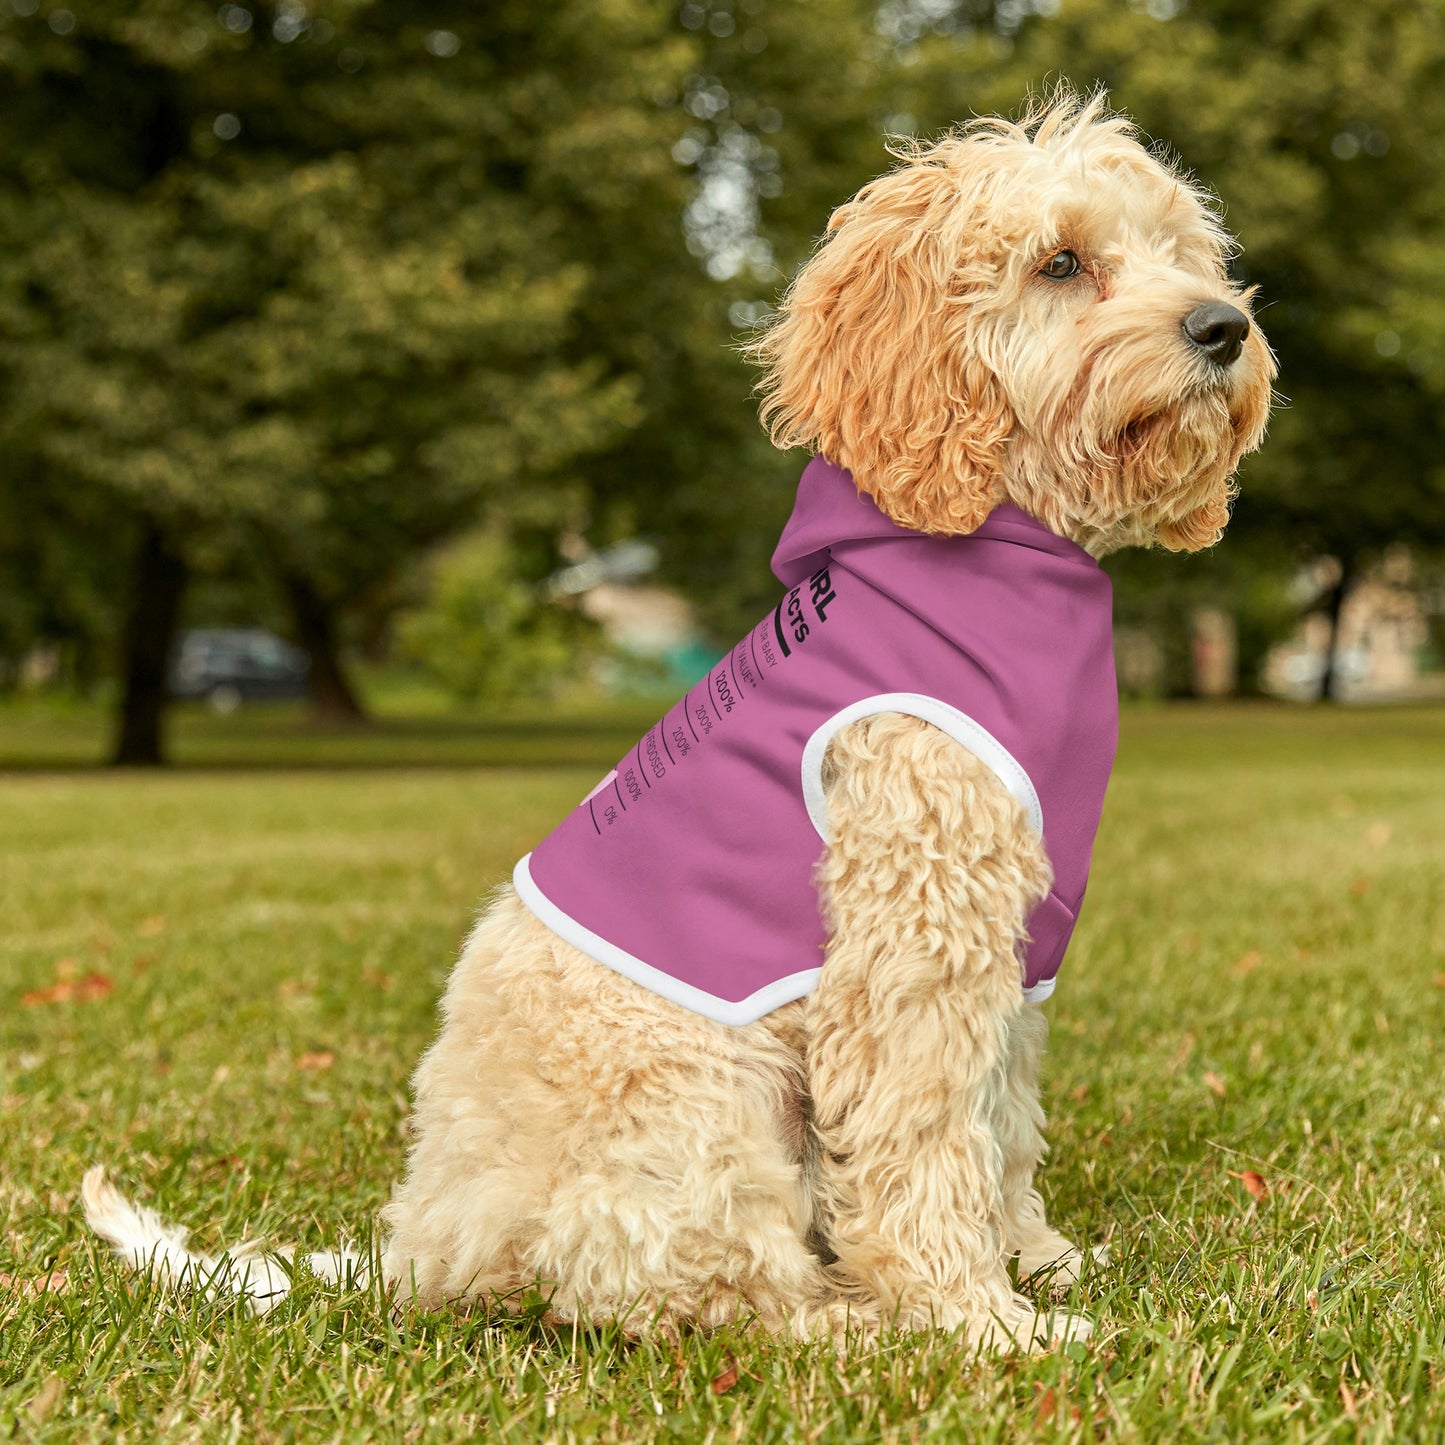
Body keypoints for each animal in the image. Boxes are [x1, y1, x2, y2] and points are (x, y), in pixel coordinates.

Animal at [84, 93, 1271, 1352]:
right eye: (1060, 262)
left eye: (1181, 251)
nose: (1222, 327)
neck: (990, 547)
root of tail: (424, 1244)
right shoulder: (912, 939)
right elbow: (924, 1139)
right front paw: (977, 1318)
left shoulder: (1010, 948)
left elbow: (999, 1122)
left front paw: (1035, 1259)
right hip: (703, 1101)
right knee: (699, 1291)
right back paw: (852, 1322)